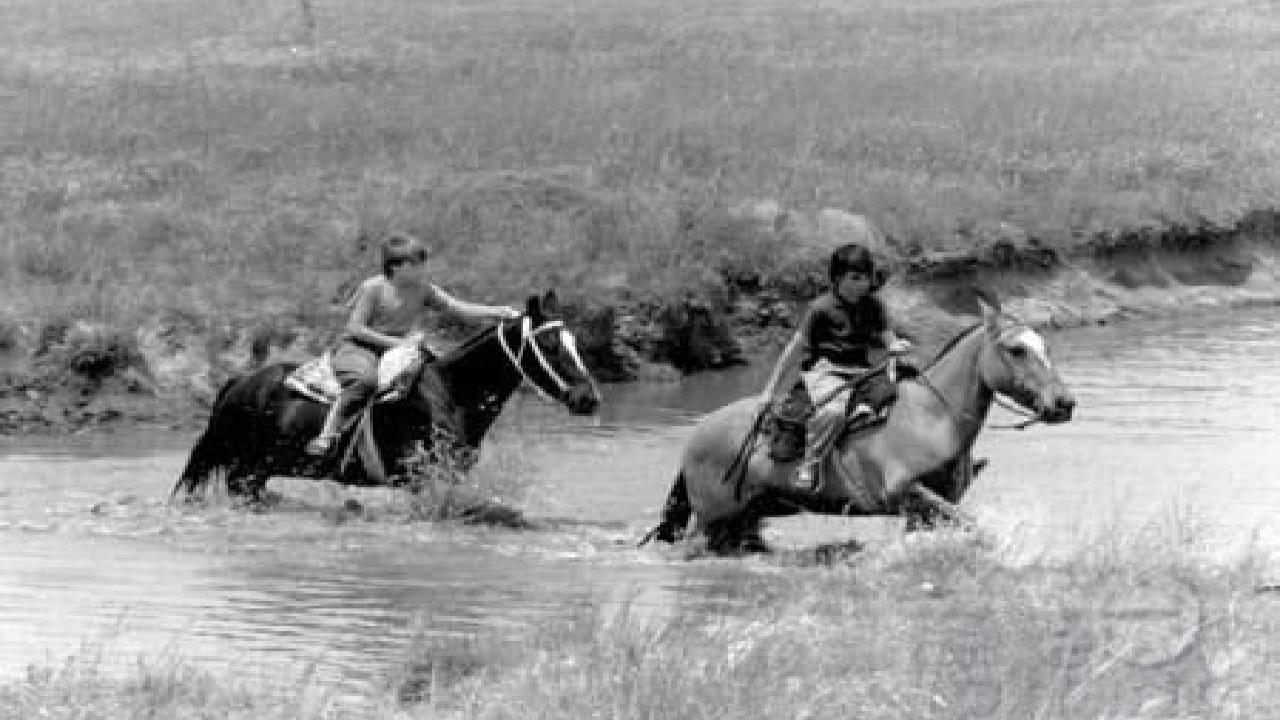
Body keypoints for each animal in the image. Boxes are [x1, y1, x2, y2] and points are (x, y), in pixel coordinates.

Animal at [168, 288, 599, 502]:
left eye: (575, 342)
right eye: (551, 345)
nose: (588, 399)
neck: (450, 393)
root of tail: (239, 383)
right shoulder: (420, 481)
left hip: (253, 473)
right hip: (246, 471)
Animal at [645, 289, 1075, 548]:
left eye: (1045, 346)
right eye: (1016, 349)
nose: (1064, 403)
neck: (933, 416)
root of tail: (694, 438)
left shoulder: (928, 507)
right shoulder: (904, 491)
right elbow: (974, 524)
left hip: (744, 518)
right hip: (710, 520)